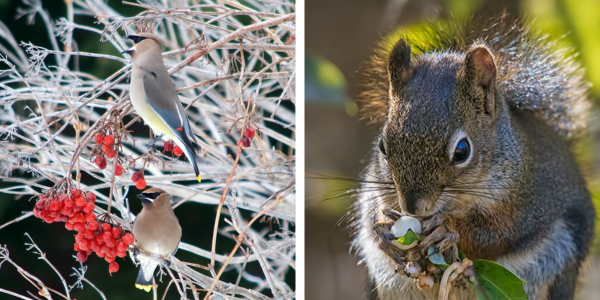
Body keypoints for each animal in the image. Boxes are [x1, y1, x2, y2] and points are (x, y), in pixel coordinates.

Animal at [352, 16, 596, 300]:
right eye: (382, 146)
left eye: (462, 151)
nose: (412, 207)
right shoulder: (375, 183)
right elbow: (370, 211)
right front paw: (381, 231)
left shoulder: (526, 201)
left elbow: (495, 235)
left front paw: (445, 229)